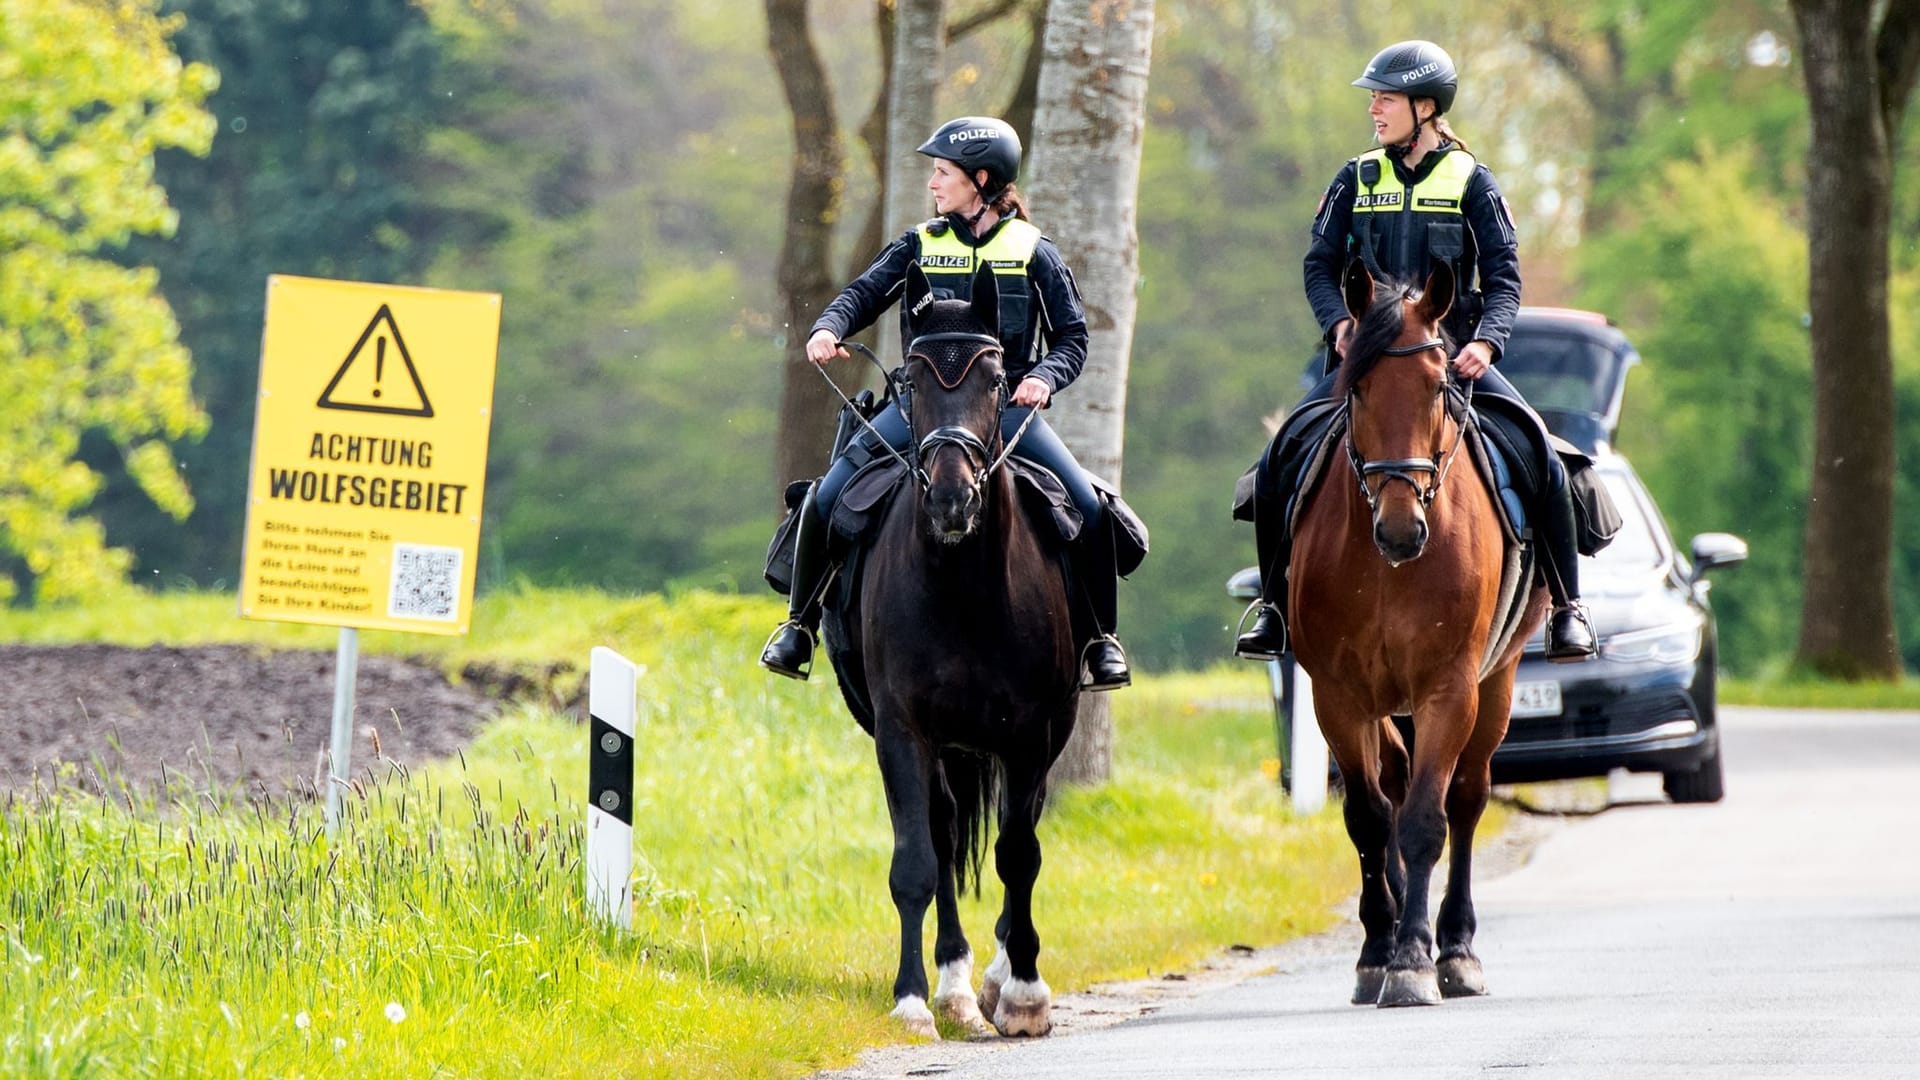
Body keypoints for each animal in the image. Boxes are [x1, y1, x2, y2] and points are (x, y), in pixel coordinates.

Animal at [810, 261, 1082, 1037]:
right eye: (915, 380)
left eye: (994, 379)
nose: (952, 501)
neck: (966, 591)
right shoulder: (903, 731)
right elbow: (917, 864)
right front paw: (913, 1000)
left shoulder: (1031, 735)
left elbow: (1018, 856)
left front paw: (1024, 995)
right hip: (945, 747)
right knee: (945, 836)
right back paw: (957, 987)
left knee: (1007, 842)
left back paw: (992, 979)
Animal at [1282, 259, 1551, 999]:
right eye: (1358, 387)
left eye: (1438, 387)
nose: (1402, 530)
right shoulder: (1338, 696)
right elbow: (1370, 819)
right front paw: (1379, 950)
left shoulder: (1447, 687)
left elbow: (1429, 820)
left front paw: (1413, 962)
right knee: (1394, 788)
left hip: (1497, 682)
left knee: (1465, 798)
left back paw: (1454, 946)